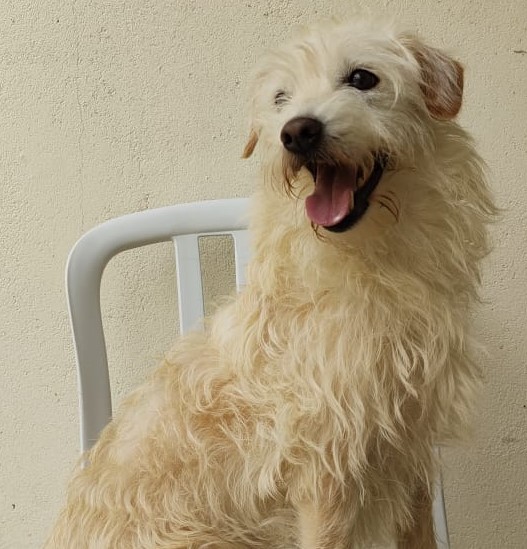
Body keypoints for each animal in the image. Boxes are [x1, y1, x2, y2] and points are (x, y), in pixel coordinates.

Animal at [45, 17, 496, 548]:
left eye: (363, 78)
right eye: (282, 98)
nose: (296, 132)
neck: (370, 261)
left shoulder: (409, 445)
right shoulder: (326, 469)